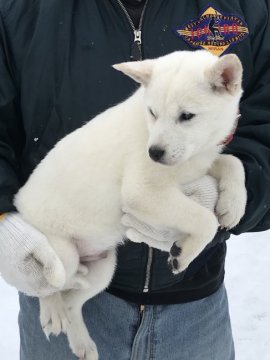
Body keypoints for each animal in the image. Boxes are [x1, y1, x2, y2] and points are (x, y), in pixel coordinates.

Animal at [14, 50, 247, 358]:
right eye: (153, 113)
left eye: (187, 116)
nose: (154, 153)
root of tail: (20, 207)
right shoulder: (141, 191)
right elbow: (204, 220)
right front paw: (184, 254)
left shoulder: (199, 164)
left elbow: (232, 162)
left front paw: (234, 203)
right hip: (59, 253)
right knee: (50, 284)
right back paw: (53, 310)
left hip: (104, 267)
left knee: (72, 299)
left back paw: (82, 343)